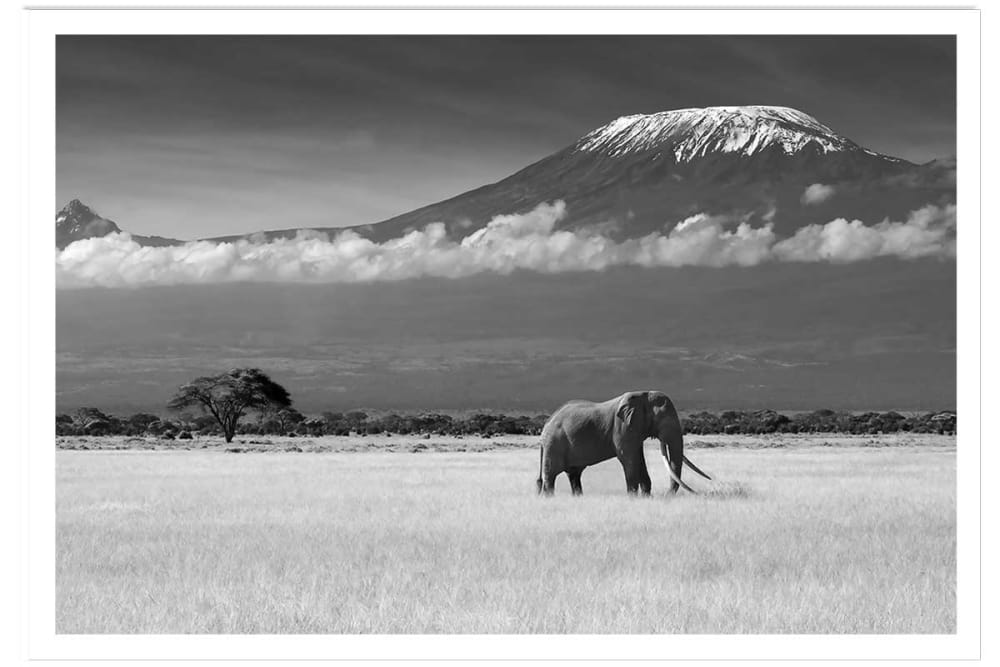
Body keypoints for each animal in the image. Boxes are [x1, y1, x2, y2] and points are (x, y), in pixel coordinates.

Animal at [535, 390, 711, 496]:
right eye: (663, 419)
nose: (667, 496)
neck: (643, 396)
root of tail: (546, 424)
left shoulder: (635, 430)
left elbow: (639, 459)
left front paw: (646, 497)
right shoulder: (622, 427)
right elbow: (629, 459)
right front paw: (633, 497)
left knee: (574, 475)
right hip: (554, 444)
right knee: (550, 476)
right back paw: (549, 498)